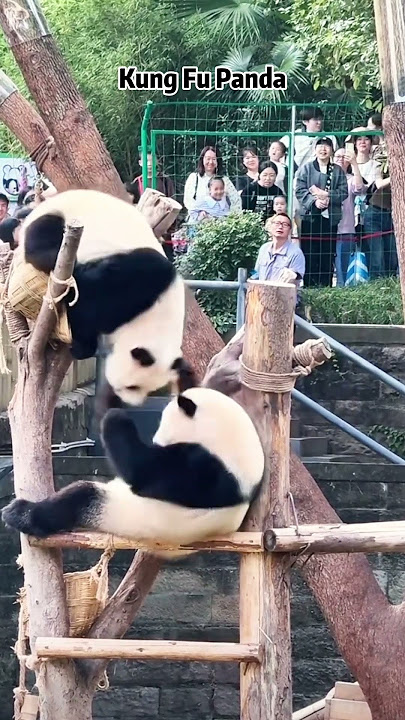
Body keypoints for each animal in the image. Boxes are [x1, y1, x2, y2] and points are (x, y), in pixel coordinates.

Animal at [2, 387, 265, 558]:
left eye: (163, 425)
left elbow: (143, 472)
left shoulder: (207, 470)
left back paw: (21, 513)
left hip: (119, 513)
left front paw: (115, 415)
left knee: (80, 497)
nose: (156, 441)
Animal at [19, 189, 190, 405]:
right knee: (44, 242)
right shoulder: (142, 279)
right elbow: (90, 300)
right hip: (59, 217)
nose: (130, 403)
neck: (156, 316)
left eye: (150, 390)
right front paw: (81, 345)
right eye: (133, 386)